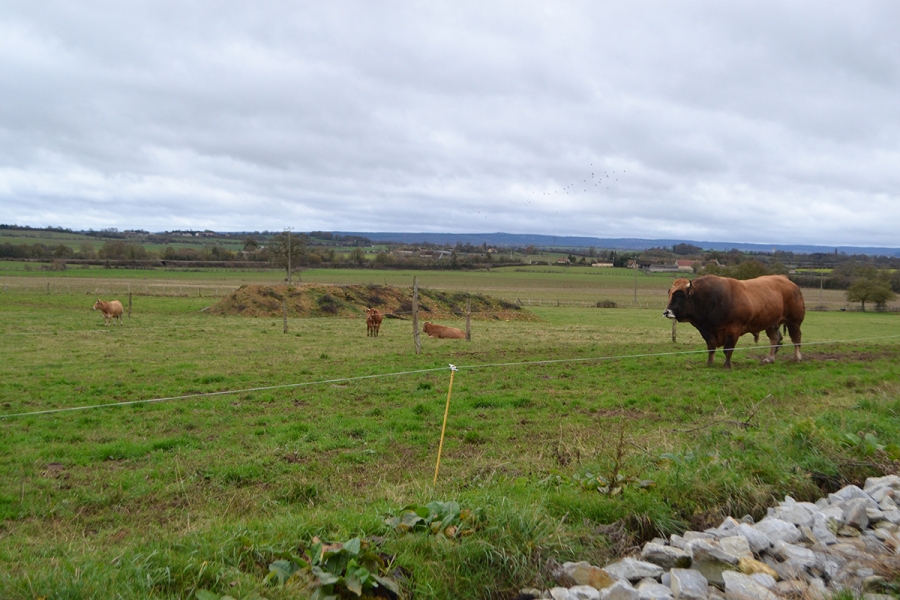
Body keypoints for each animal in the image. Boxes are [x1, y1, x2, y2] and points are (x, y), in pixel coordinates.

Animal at [660, 276, 808, 368]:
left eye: (680, 295)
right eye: (670, 294)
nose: (666, 312)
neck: (710, 298)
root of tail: (790, 283)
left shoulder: (733, 329)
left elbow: (728, 349)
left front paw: (727, 365)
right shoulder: (707, 331)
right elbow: (711, 347)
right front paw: (710, 363)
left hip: (794, 322)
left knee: (796, 339)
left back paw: (797, 357)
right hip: (771, 324)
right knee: (775, 339)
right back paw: (769, 358)